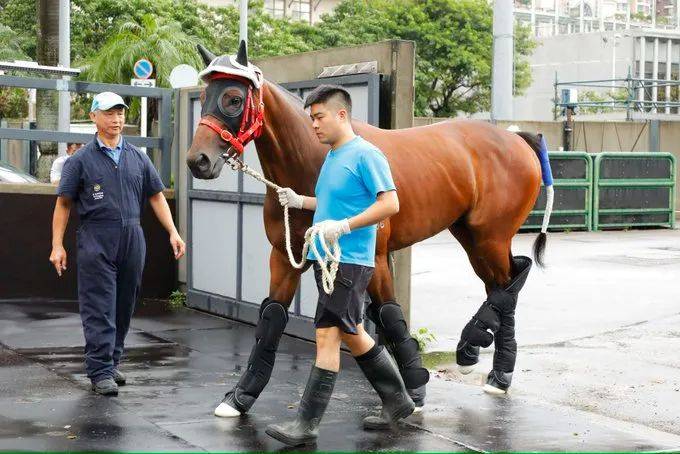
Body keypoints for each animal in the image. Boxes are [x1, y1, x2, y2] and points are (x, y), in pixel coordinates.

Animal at [186, 40, 552, 416]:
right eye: (204, 95)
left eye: (234, 99)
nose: (198, 160)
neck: (316, 159)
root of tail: (517, 139)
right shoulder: (285, 257)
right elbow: (272, 317)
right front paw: (240, 396)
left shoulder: (374, 258)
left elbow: (389, 314)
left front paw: (414, 387)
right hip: (472, 236)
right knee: (502, 284)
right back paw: (491, 367)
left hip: (489, 236)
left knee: (509, 282)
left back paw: (481, 359)